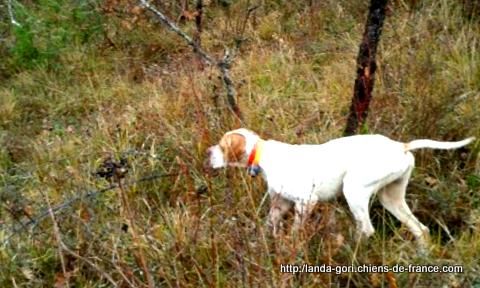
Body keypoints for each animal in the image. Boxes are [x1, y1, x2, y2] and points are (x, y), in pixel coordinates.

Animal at [206, 128, 472, 245]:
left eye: (221, 145)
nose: (208, 152)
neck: (264, 155)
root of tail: (401, 146)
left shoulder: (306, 201)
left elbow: (295, 232)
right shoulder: (280, 204)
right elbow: (268, 224)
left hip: (353, 189)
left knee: (367, 230)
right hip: (391, 197)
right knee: (421, 229)